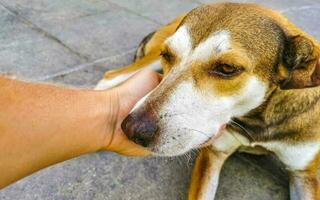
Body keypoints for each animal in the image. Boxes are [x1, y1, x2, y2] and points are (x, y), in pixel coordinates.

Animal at [95, 3, 320, 200]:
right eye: (167, 55)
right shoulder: (212, 154)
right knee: (109, 76)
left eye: (227, 68)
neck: (257, 121)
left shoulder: (305, 174)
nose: (132, 129)